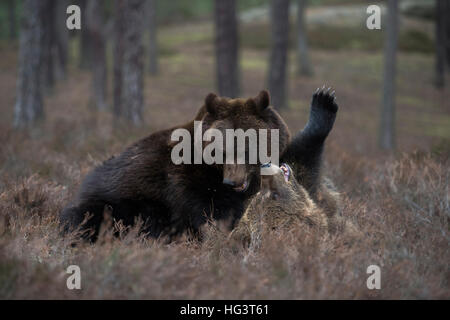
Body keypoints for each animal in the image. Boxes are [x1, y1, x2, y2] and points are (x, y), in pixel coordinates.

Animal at [59, 90, 290, 240]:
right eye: (220, 149)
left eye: (246, 147)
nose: (231, 181)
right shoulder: (184, 184)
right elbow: (201, 215)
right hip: (117, 203)